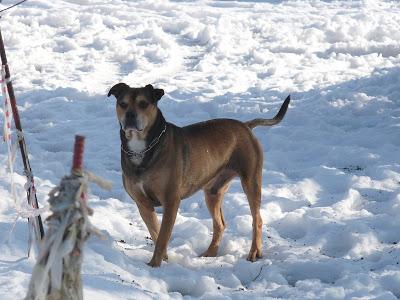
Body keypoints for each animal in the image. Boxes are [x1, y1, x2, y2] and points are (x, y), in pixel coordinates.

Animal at [108, 82, 290, 268]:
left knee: (257, 220)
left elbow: (163, 236)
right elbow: (155, 232)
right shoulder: (143, 204)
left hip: (251, 181)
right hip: (213, 191)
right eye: (122, 104)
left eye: (143, 104)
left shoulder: (171, 200)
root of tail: (245, 126)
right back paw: (210, 253)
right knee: (220, 224)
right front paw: (162, 259)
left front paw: (155, 264)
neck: (141, 149)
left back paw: (254, 252)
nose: (130, 115)